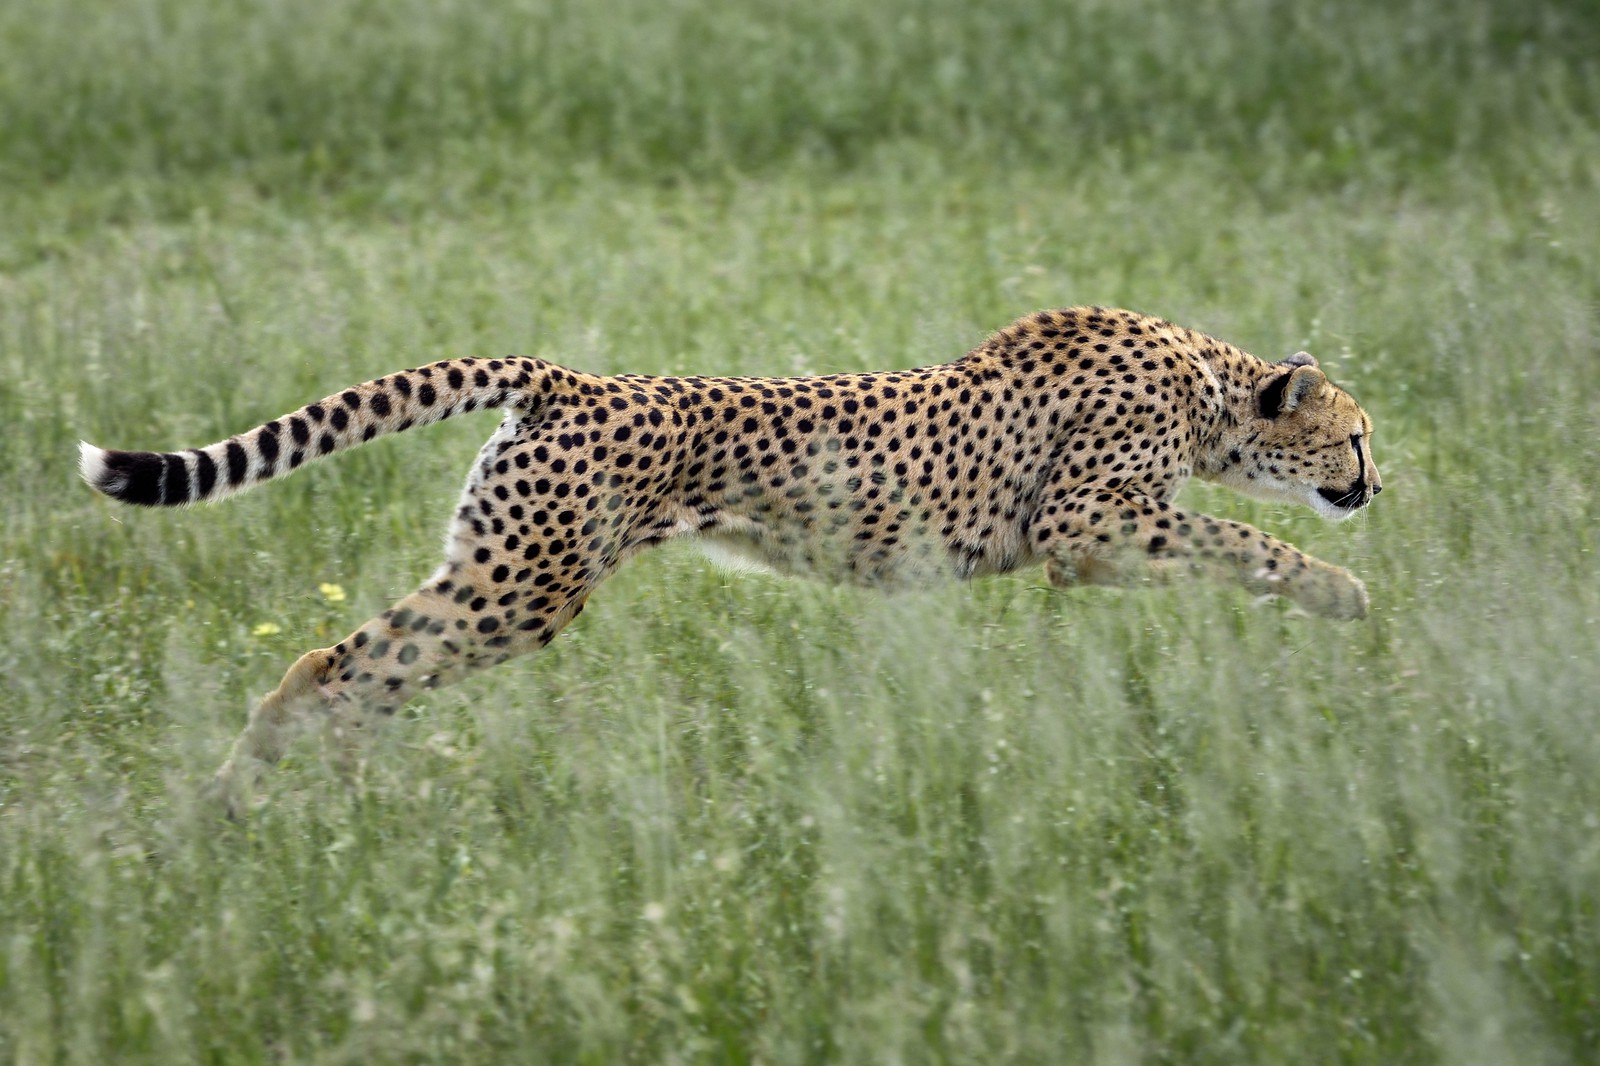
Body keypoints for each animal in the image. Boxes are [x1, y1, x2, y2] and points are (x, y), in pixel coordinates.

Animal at [79, 307, 1380, 816]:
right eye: (1356, 434)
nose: (1375, 482)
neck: (1208, 388)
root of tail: (572, 376)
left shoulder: (1093, 536)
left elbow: (1232, 537)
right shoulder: (1087, 526)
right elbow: (1245, 538)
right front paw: (1343, 592)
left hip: (500, 572)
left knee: (349, 670)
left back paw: (275, 809)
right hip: (524, 587)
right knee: (345, 667)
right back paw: (287, 805)